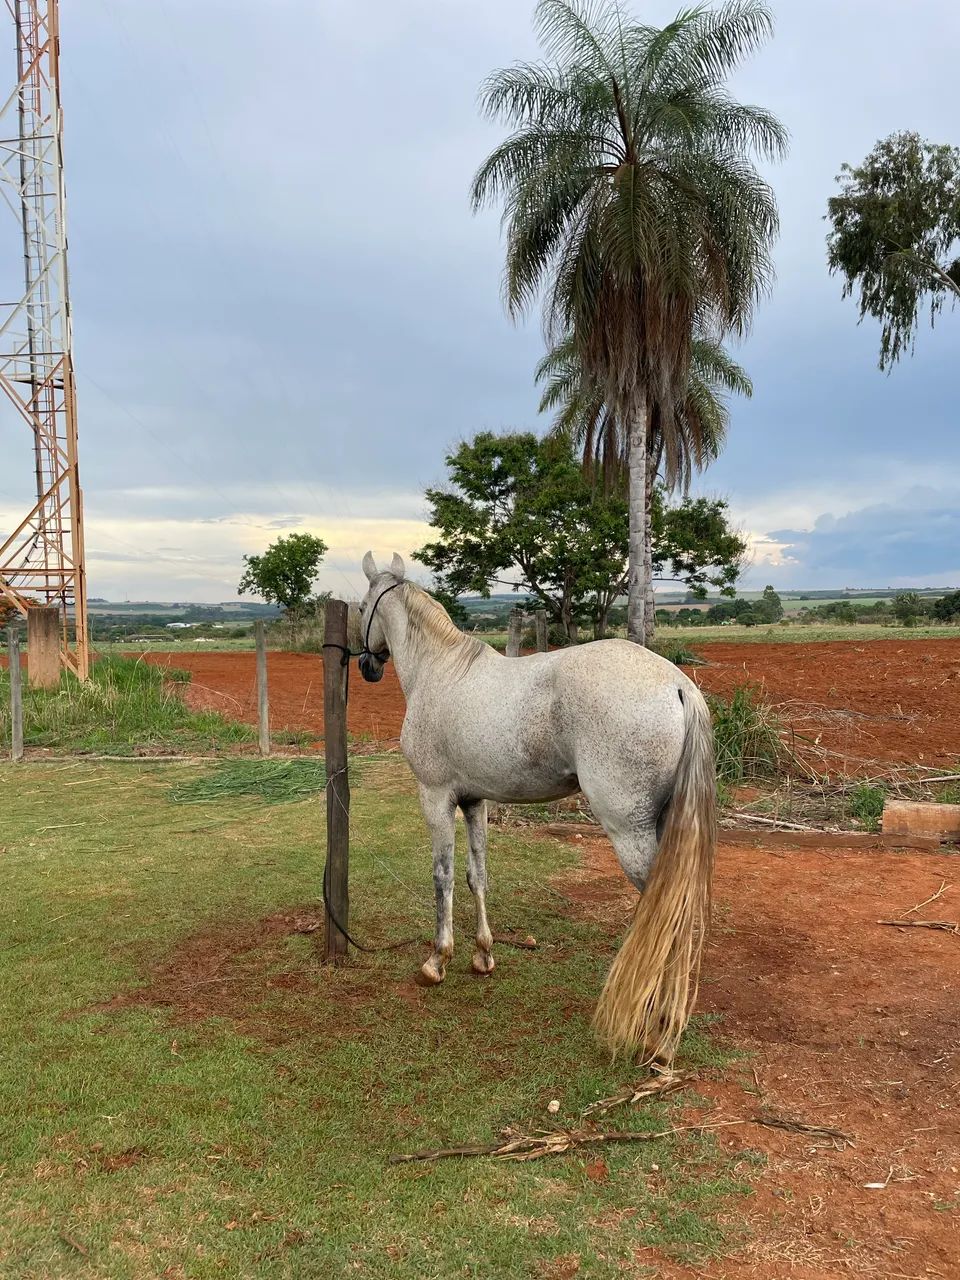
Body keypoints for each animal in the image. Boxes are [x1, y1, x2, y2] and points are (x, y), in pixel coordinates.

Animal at [356, 551, 716, 1062]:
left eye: (361, 606)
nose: (367, 664)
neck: (439, 672)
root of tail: (677, 685)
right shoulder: (474, 801)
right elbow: (477, 875)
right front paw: (483, 954)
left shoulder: (436, 797)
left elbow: (443, 878)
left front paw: (437, 960)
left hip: (631, 833)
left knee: (666, 916)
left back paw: (660, 1030)